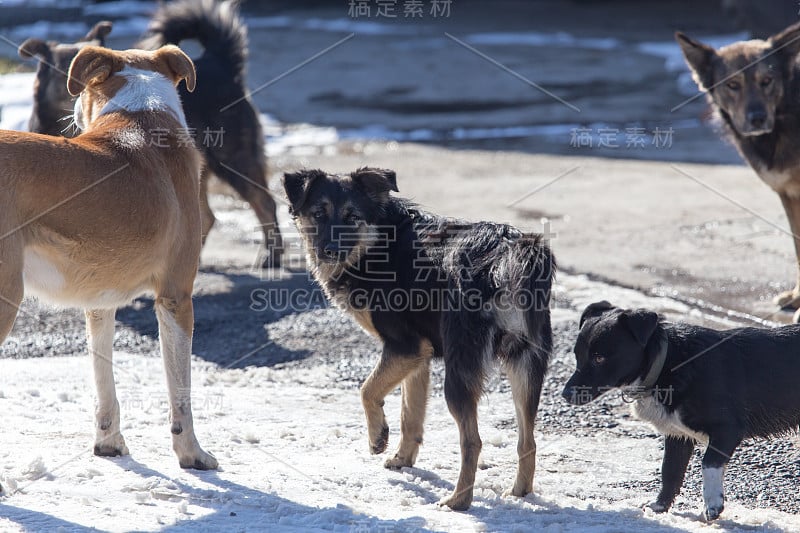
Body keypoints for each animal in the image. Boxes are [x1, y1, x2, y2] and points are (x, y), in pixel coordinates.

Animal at [0, 45, 217, 470]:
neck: (141, 114)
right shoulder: (176, 297)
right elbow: (180, 391)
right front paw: (191, 454)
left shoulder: (99, 302)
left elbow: (104, 380)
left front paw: (109, 444)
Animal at [564, 302, 800, 520]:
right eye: (577, 355)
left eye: (599, 358)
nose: (565, 394)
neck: (668, 362)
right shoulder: (678, 435)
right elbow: (670, 471)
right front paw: (660, 506)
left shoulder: (727, 430)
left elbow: (708, 464)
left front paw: (712, 504)